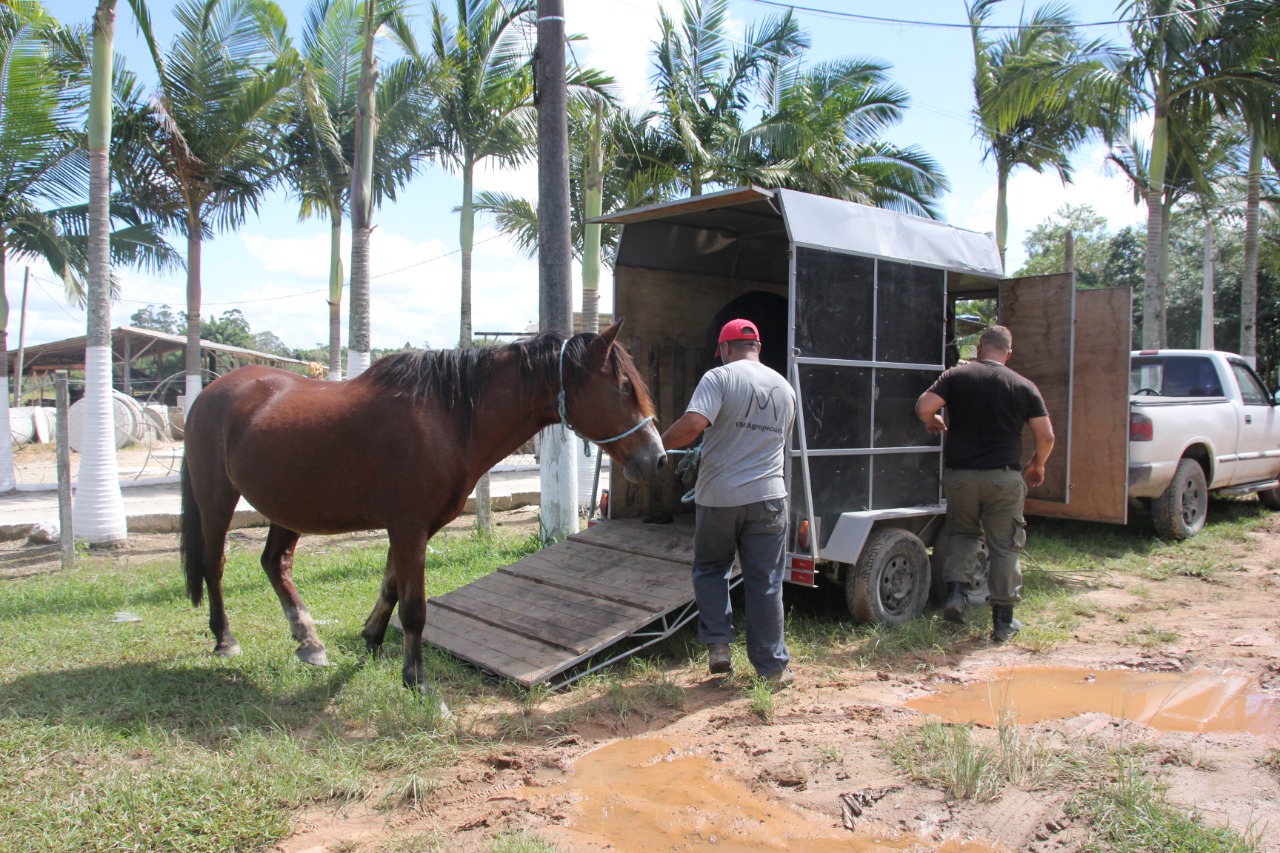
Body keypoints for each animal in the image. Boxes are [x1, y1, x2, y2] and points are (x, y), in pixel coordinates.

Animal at [185, 322, 665, 696]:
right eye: (624, 387)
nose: (657, 459)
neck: (446, 418)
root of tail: (210, 392)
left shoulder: (417, 529)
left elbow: (391, 588)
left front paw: (373, 640)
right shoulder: (408, 527)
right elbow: (414, 607)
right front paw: (416, 681)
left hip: (289, 507)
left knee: (275, 563)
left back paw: (309, 642)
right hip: (217, 497)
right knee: (214, 564)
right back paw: (225, 639)